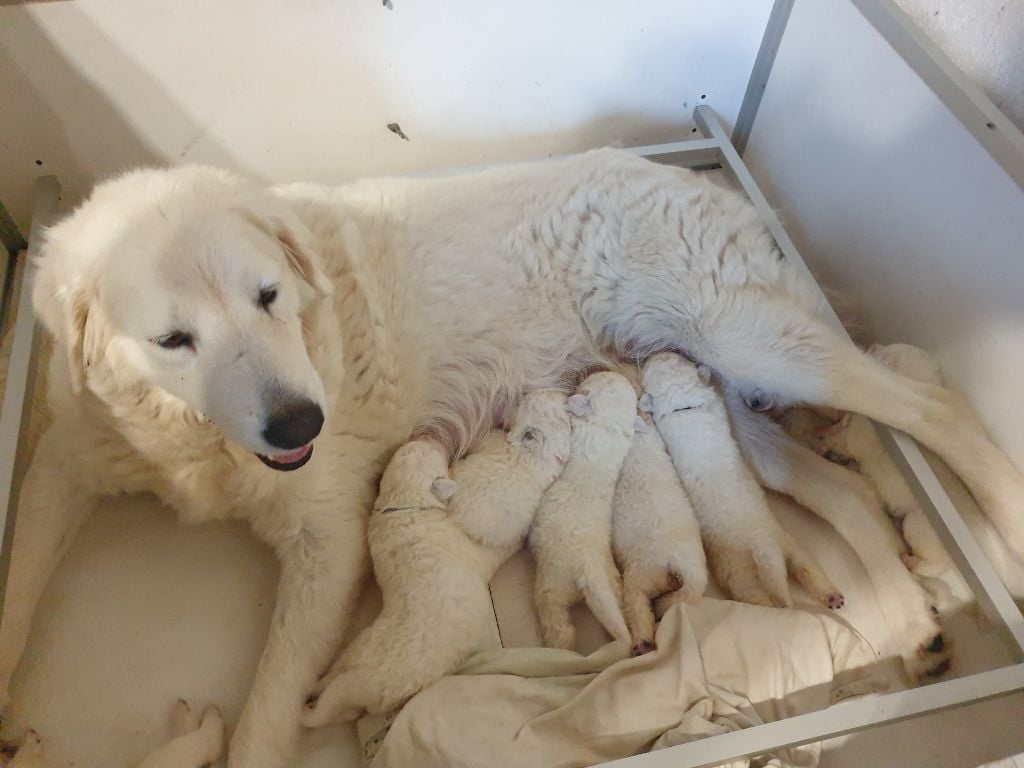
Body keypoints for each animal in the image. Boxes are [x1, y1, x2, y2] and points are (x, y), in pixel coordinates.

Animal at [303, 393, 577, 724]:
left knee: (335, 678)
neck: (404, 502)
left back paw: (314, 692)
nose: (432, 435)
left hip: (358, 649)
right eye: (433, 452)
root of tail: (364, 687)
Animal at [532, 372, 634, 651]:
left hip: (552, 580)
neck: (607, 425)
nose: (598, 370)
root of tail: (589, 571)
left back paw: (559, 643)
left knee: (554, 613)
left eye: (594, 381)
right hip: (611, 579)